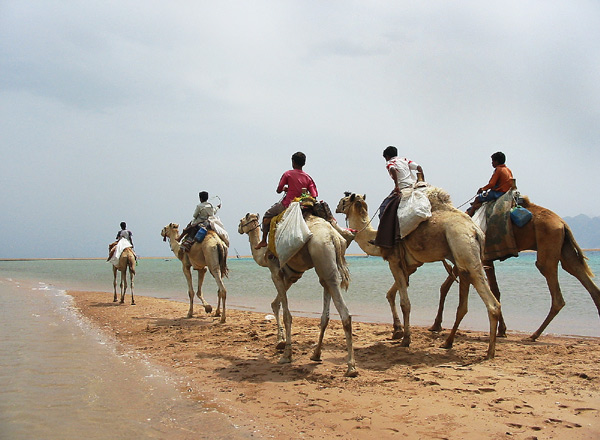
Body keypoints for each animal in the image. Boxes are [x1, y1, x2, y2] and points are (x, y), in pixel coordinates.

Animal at [238, 211, 358, 376]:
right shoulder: (292, 276)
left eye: (241, 221)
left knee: (345, 314)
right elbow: (276, 304)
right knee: (328, 308)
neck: (262, 256)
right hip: (326, 268)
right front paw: (280, 341)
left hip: (321, 254)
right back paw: (317, 354)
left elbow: (286, 314)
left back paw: (351, 367)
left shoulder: (275, 271)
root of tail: (334, 237)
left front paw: (286, 354)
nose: (238, 229)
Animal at [338, 191, 502, 360]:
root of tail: (476, 231)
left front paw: (405, 339)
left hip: (464, 248)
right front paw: (397, 331)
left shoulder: (394, 260)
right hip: (462, 259)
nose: (337, 208)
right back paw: (448, 343)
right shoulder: (412, 266)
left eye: (343, 201)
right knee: (463, 305)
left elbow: (405, 303)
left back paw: (490, 352)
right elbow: (391, 294)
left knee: (491, 303)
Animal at [428, 197, 600, 340]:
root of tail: (563, 224)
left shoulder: (478, 258)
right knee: (577, 271)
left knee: (555, 290)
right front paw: (502, 330)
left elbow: (446, 286)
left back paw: (534, 335)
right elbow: (493, 290)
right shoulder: (482, 259)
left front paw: (436, 325)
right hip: (564, 247)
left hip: (549, 242)